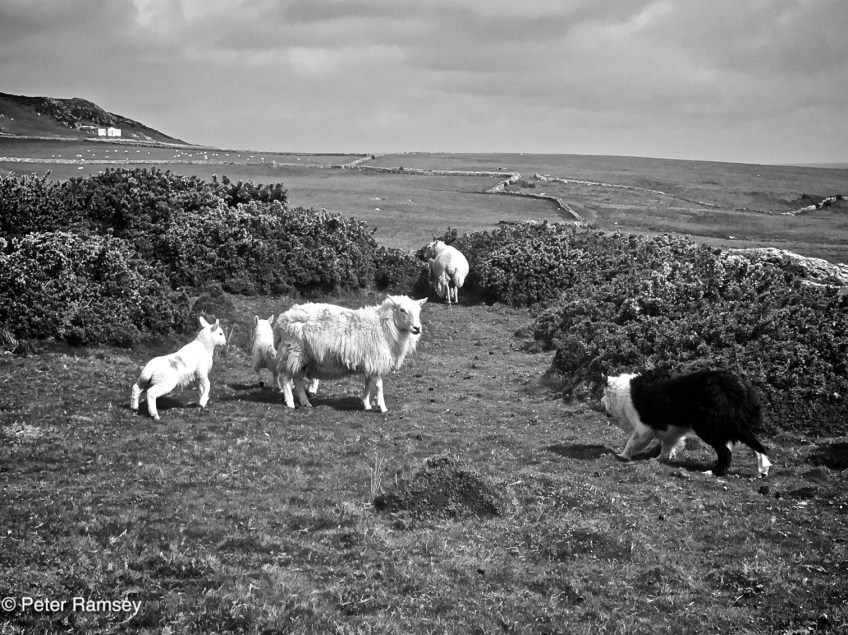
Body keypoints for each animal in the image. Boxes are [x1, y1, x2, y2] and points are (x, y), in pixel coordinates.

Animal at [274, 295, 427, 412]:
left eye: (419, 310)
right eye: (402, 310)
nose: (417, 328)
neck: (384, 326)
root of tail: (282, 319)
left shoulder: (369, 363)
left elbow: (368, 384)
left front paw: (366, 404)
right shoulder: (376, 361)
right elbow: (379, 386)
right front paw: (382, 407)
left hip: (303, 357)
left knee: (297, 380)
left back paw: (305, 402)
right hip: (293, 352)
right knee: (286, 378)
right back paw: (290, 402)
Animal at [600, 368, 771, 477]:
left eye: (604, 394)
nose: (601, 401)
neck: (623, 393)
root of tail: (732, 385)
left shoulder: (644, 428)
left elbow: (631, 442)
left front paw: (622, 455)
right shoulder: (670, 431)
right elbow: (666, 446)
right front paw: (659, 459)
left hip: (707, 427)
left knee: (726, 452)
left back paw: (713, 472)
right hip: (729, 425)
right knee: (752, 444)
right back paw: (763, 468)